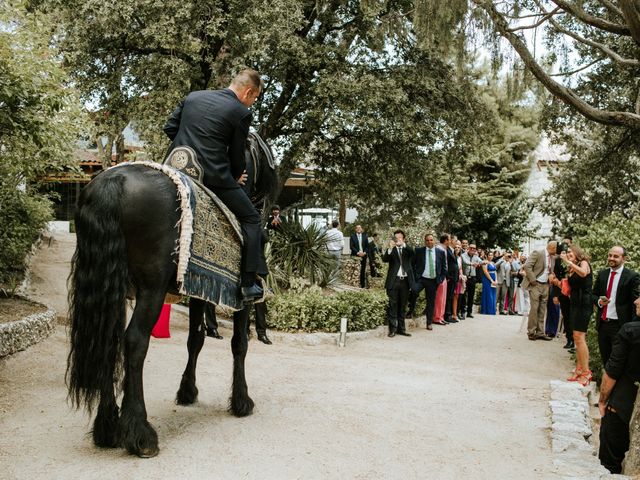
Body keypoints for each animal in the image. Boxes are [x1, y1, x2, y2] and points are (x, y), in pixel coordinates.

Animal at [67, 134, 276, 458]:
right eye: (268, 161)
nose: (268, 211)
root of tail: (113, 181)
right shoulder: (239, 297)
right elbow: (239, 344)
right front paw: (241, 401)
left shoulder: (199, 286)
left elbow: (196, 339)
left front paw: (187, 391)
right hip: (151, 289)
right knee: (134, 341)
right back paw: (139, 433)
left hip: (112, 286)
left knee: (109, 340)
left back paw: (108, 428)